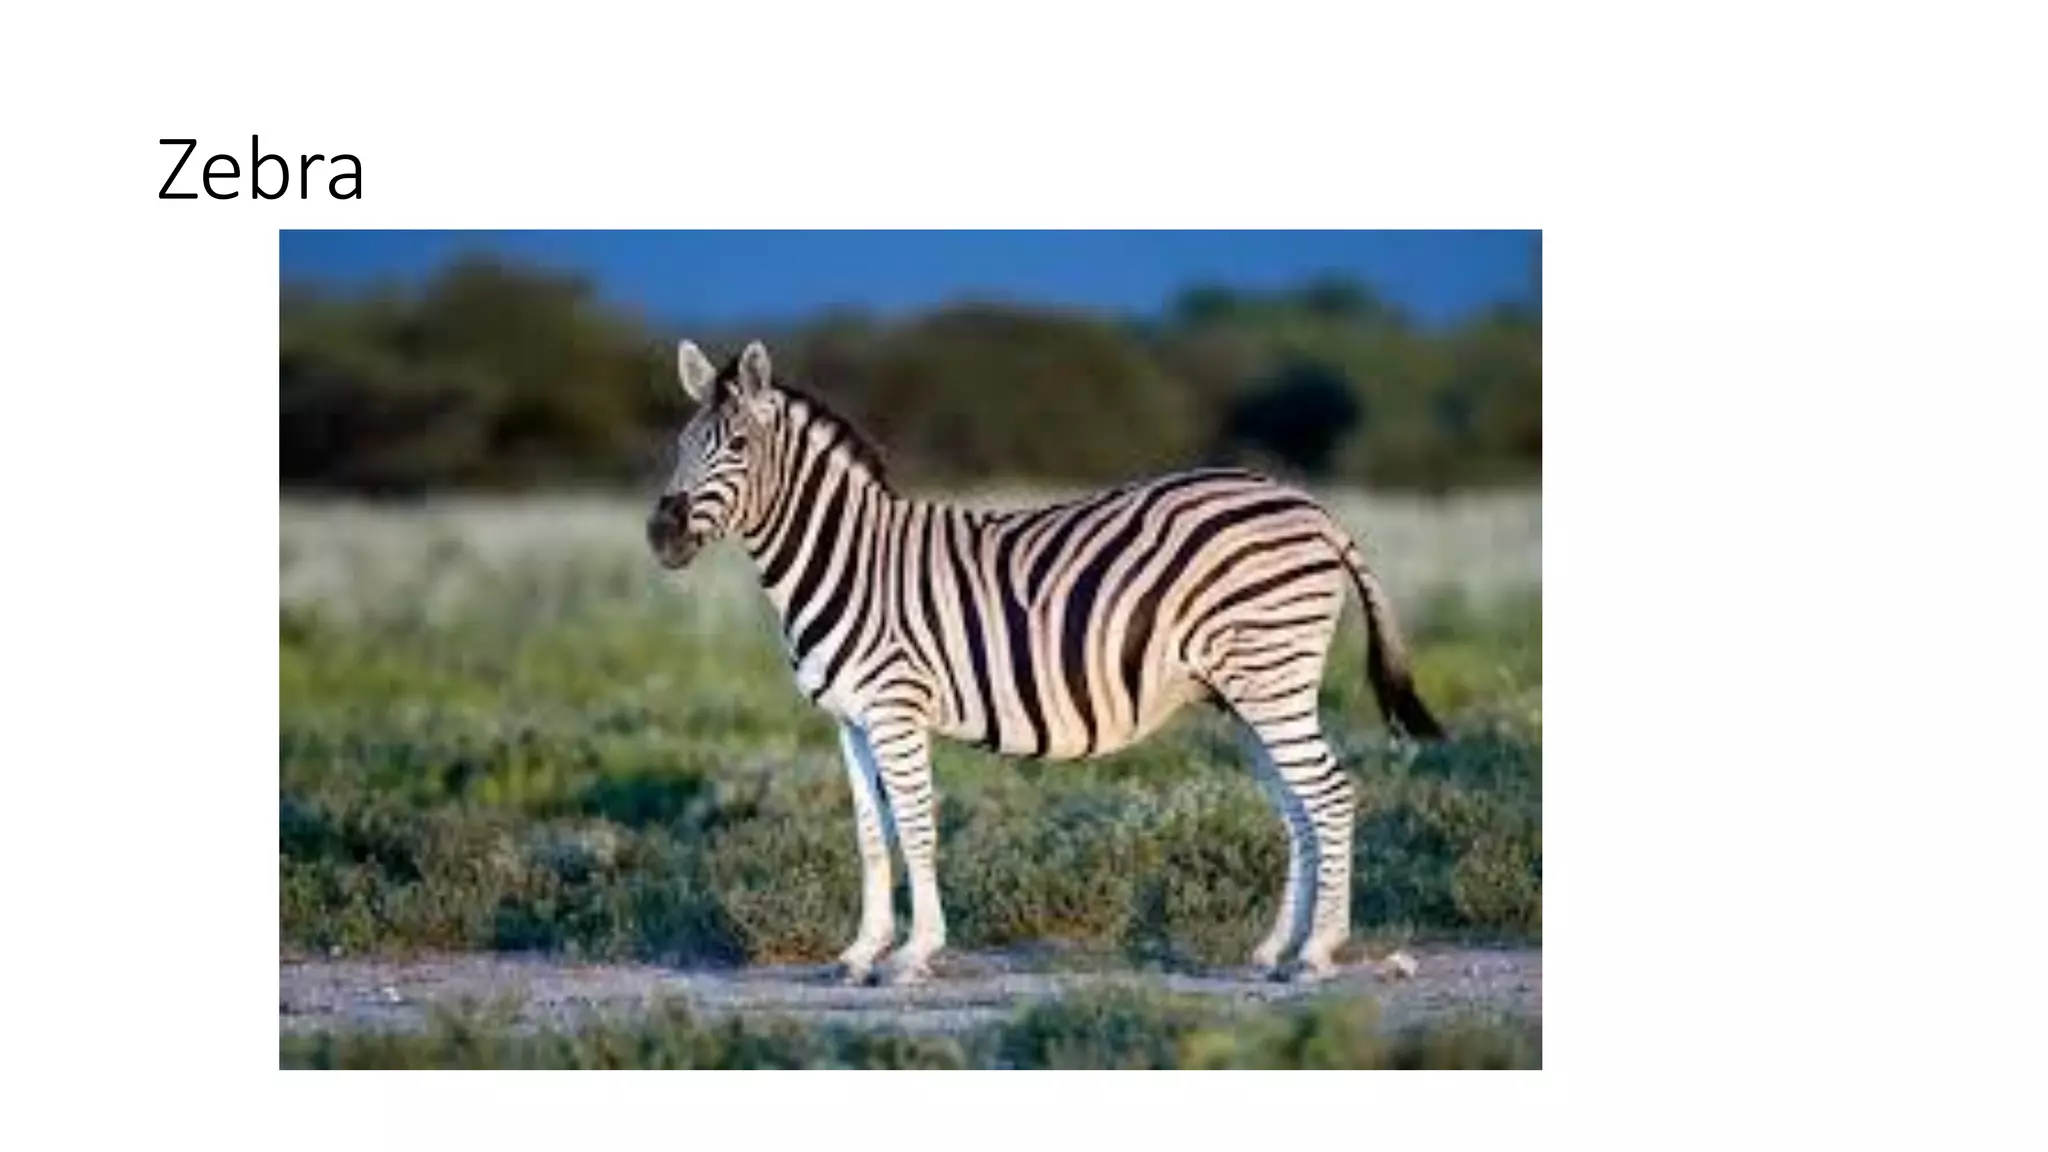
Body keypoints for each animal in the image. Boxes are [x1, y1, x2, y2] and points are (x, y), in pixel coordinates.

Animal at [647, 339, 1445, 985]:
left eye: (738, 444)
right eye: (681, 444)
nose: (662, 533)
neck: (848, 560)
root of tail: (1312, 508)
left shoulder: (897, 707)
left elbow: (916, 823)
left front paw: (913, 954)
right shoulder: (850, 719)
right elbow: (872, 835)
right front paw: (860, 952)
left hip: (1272, 678)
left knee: (1330, 794)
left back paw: (1317, 954)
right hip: (1247, 694)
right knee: (1297, 808)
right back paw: (1278, 949)